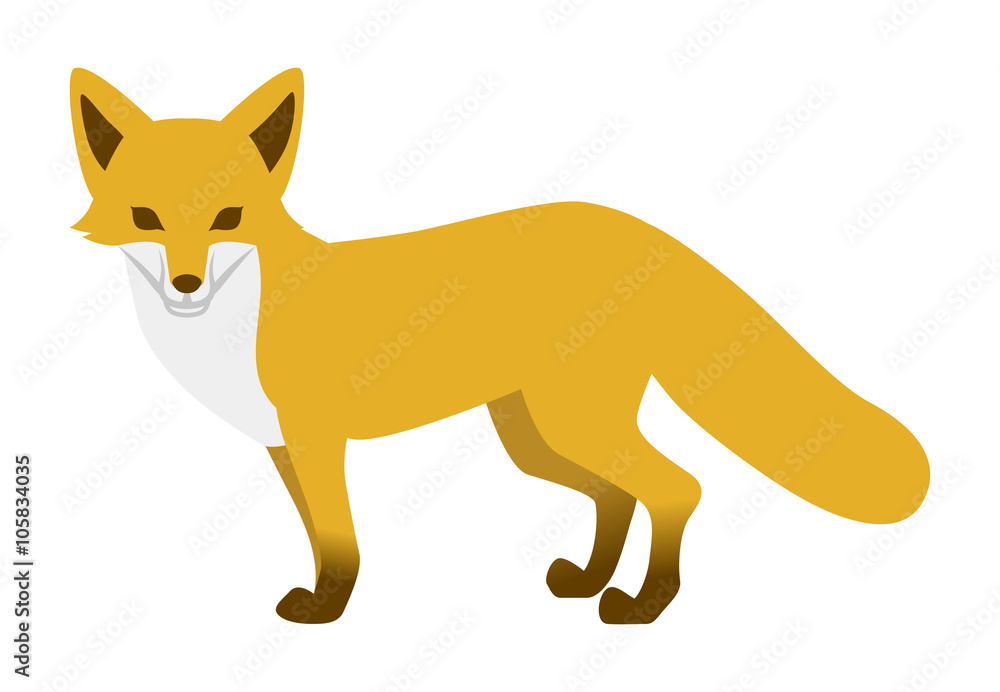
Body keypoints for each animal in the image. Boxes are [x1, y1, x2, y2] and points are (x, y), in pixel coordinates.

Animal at [70, 67, 930, 625]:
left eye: (229, 218)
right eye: (145, 218)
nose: (186, 284)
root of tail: (643, 232)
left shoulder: (318, 440)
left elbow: (340, 541)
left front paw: (330, 609)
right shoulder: (284, 449)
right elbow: (320, 535)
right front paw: (326, 595)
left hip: (567, 425)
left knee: (676, 487)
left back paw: (643, 606)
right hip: (535, 437)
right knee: (619, 494)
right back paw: (588, 582)